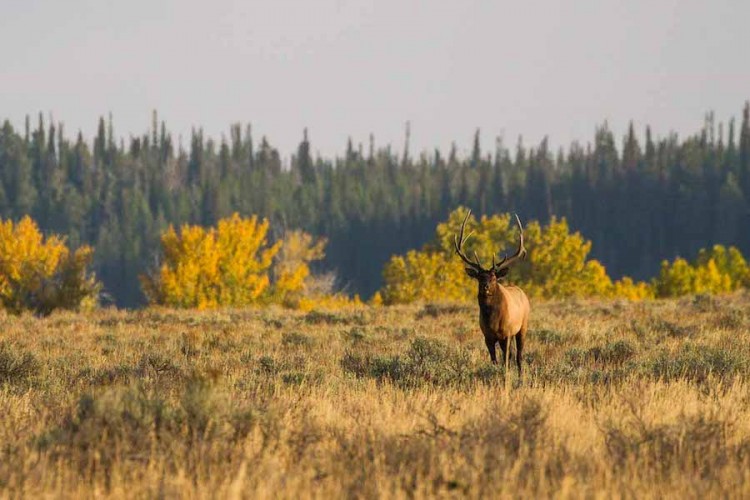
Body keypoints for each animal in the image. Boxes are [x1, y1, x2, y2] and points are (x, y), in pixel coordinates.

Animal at [456, 210, 532, 376]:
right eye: (479, 277)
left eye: (493, 277)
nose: (485, 286)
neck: (492, 320)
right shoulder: (487, 337)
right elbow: (494, 360)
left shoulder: (506, 334)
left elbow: (506, 359)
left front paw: (505, 375)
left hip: (523, 326)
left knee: (518, 355)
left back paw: (520, 375)